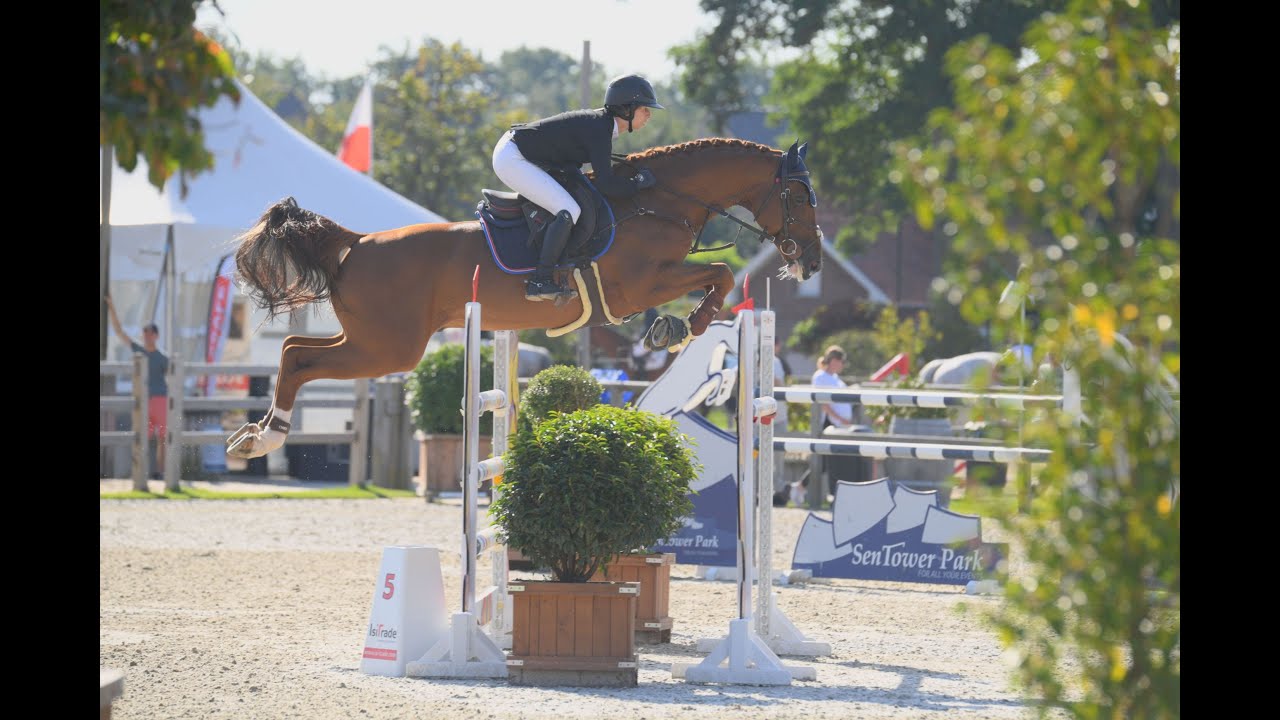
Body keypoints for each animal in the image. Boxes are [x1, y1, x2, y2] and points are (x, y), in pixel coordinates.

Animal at [226, 137, 824, 459]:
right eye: (798, 196)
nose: (812, 261)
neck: (659, 200)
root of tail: (358, 241)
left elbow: (717, 275)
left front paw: (676, 327)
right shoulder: (637, 286)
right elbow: (720, 273)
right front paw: (688, 326)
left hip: (374, 341)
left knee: (292, 350)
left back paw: (255, 433)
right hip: (391, 349)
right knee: (300, 359)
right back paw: (266, 437)